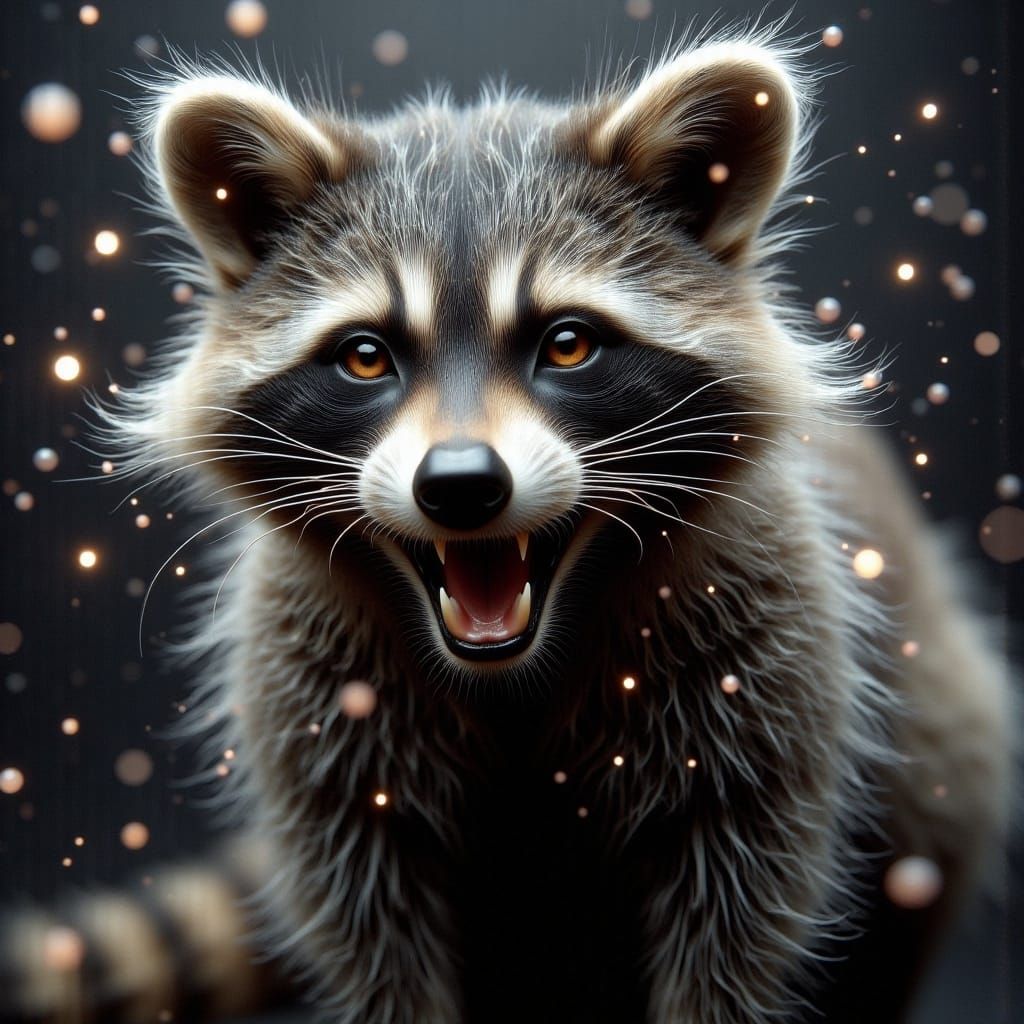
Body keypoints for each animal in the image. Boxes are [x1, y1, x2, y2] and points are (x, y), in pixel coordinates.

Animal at [6, 30, 1015, 1024]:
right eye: (365, 357)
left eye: (567, 343)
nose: (459, 487)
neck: (514, 672)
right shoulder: (314, 696)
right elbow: (375, 932)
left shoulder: (767, 653)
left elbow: (740, 923)